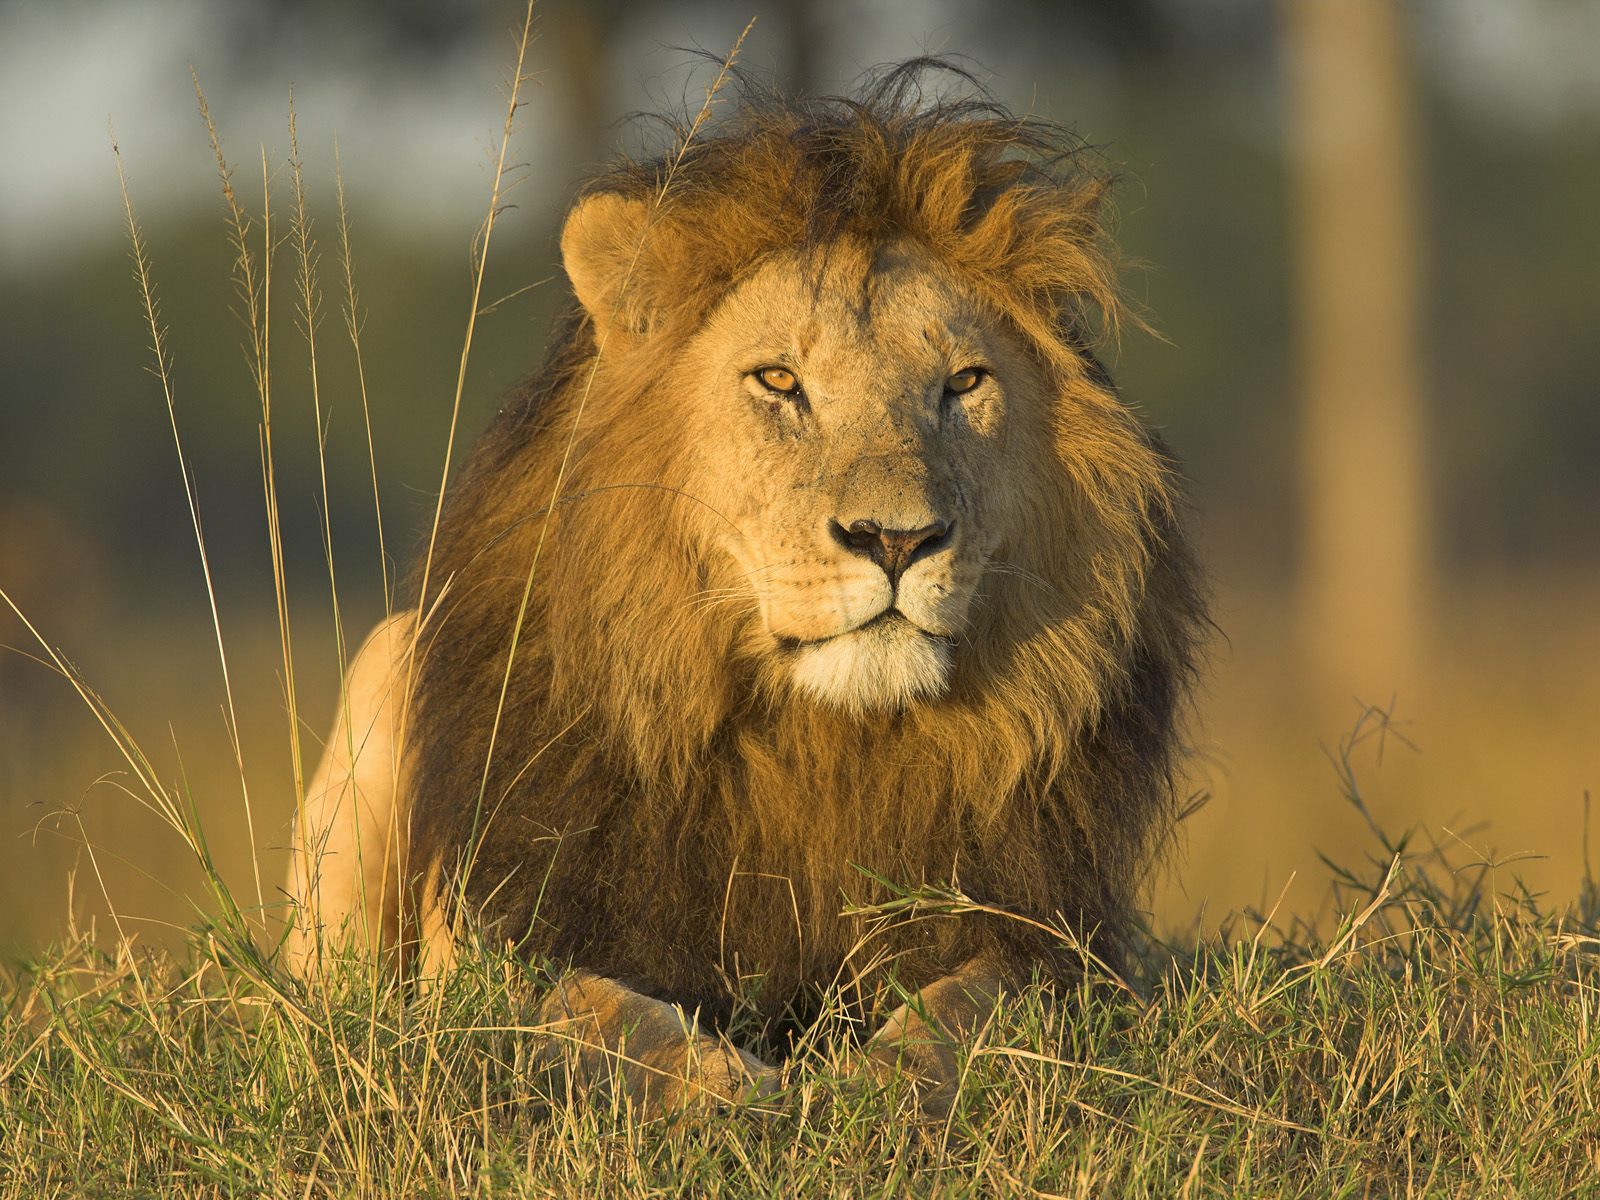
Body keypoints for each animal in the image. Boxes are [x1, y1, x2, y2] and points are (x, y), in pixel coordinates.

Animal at [284, 63, 1203, 1120]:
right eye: (779, 381)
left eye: (964, 383)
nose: (897, 538)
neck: (824, 744)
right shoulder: (507, 936)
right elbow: (602, 1013)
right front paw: (732, 1093)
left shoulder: (1051, 936)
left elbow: (971, 1006)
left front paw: (874, 1087)